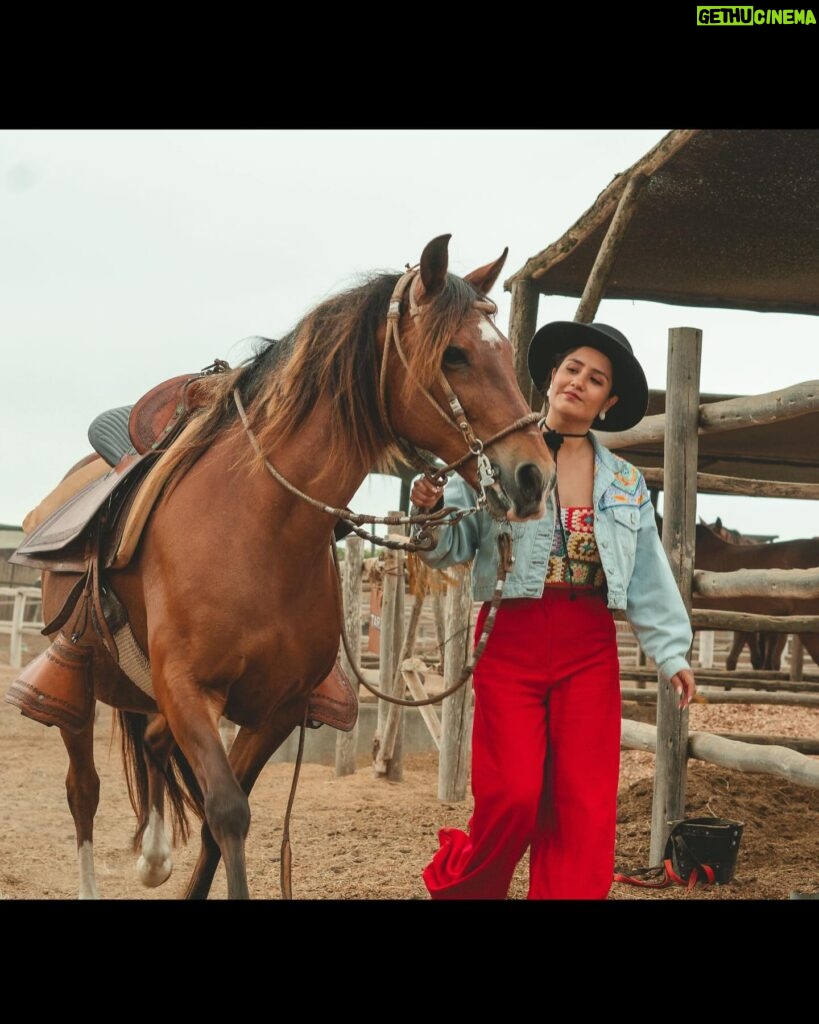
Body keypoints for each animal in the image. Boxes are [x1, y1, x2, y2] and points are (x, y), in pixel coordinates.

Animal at [30, 235, 556, 901]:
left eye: (506, 352)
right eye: (455, 355)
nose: (535, 475)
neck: (256, 527)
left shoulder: (279, 707)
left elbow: (216, 825)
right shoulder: (188, 690)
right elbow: (227, 812)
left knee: (148, 744)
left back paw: (153, 854)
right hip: (79, 693)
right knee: (85, 792)